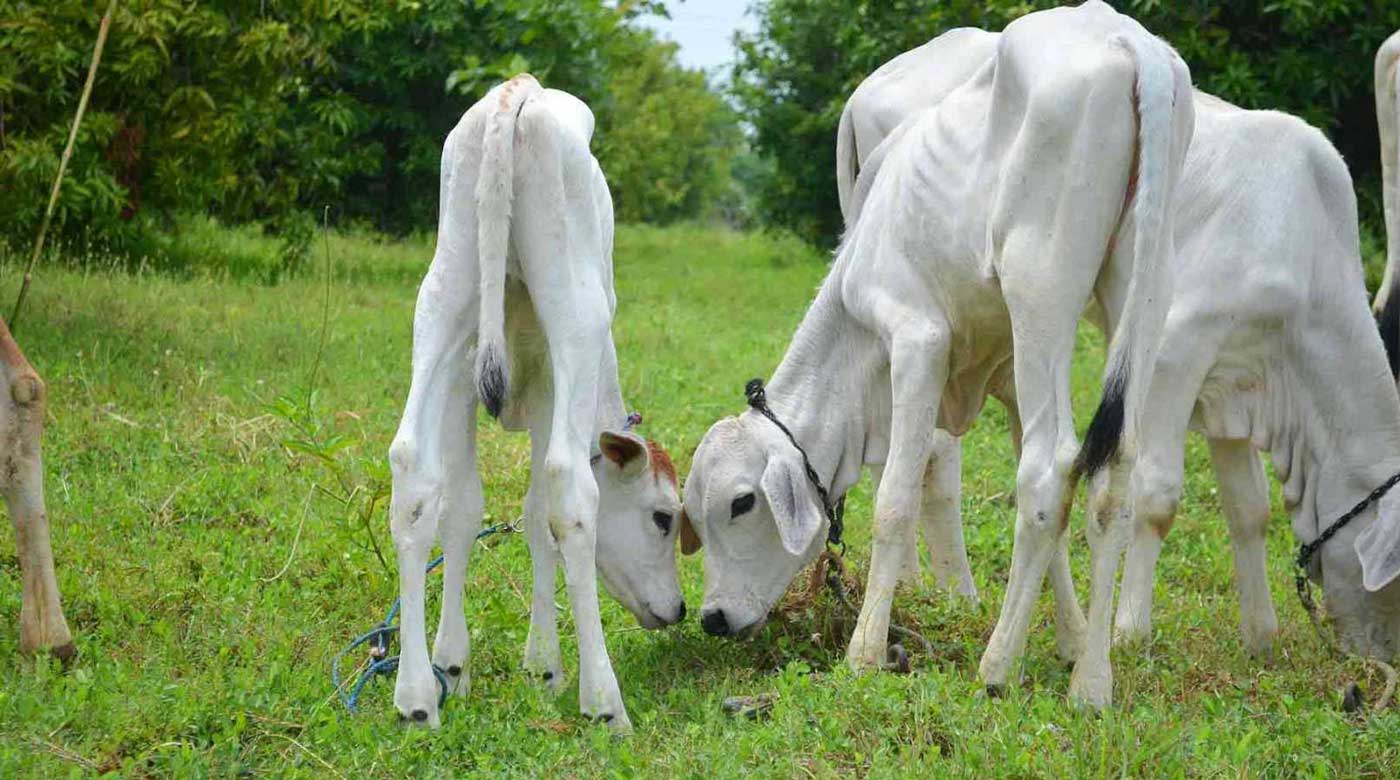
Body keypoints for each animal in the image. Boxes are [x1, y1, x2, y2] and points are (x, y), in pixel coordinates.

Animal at [386, 75, 685, 731]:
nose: (678, 609)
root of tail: (514, 94)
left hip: (442, 301)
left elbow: (462, 507)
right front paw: (545, 666)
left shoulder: (463, 372)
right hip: (573, 314)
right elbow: (541, 512)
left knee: (413, 471)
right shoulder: (553, 378)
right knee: (569, 486)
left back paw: (416, 697)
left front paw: (452, 666)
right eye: (663, 516)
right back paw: (604, 701)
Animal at [681, 1, 1194, 709]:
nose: (714, 618)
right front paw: (1068, 641)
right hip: (1141, 289)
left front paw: (864, 654)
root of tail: (1125, 39)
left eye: (740, 503)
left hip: (1042, 292)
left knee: (1049, 467)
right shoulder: (1007, 378)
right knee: (1107, 470)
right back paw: (1092, 683)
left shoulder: (917, 340)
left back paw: (997, 666)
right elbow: (1056, 520)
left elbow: (896, 501)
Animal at [834, 25, 1400, 695]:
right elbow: (1158, 496)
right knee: (936, 458)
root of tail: (872, 82)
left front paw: (1260, 634)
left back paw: (936, 592)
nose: (1381, 664)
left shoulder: (1234, 386)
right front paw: (1130, 631)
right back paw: (949, 600)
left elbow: (1249, 509)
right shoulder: (1179, 351)